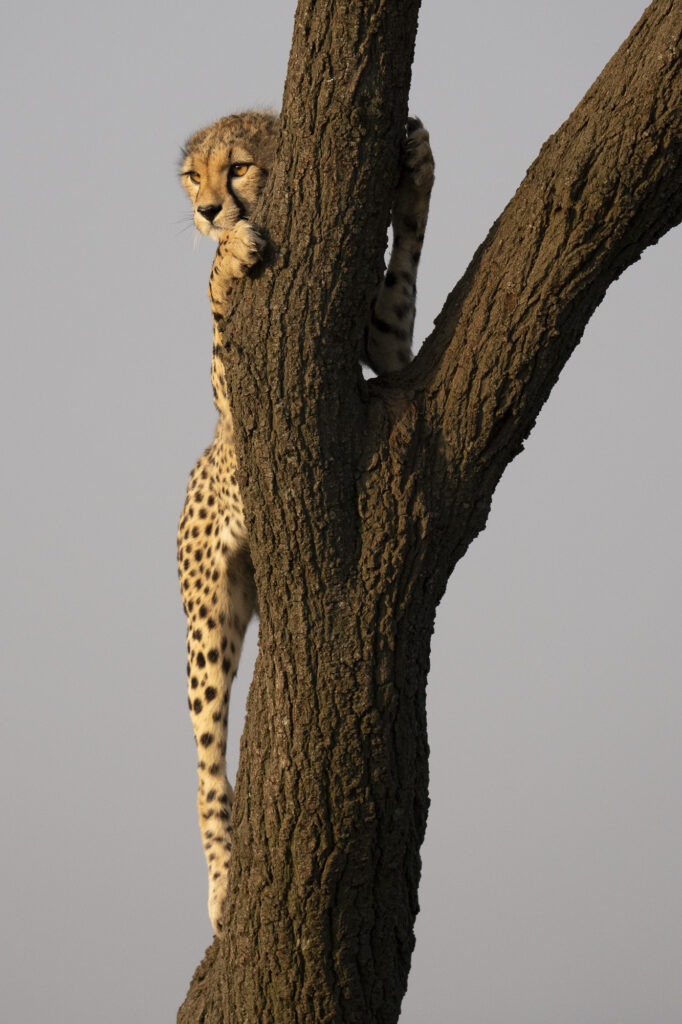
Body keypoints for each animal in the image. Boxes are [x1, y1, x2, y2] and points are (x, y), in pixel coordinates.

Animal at [177, 109, 435, 934]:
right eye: (194, 175)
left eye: (240, 167)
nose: (208, 211)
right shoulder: (238, 395)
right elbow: (220, 311)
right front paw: (227, 257)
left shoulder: (388, 349)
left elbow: (400, 291)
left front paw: (416, 165)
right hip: (209, 622)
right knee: (206, 764)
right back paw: (222, 883)